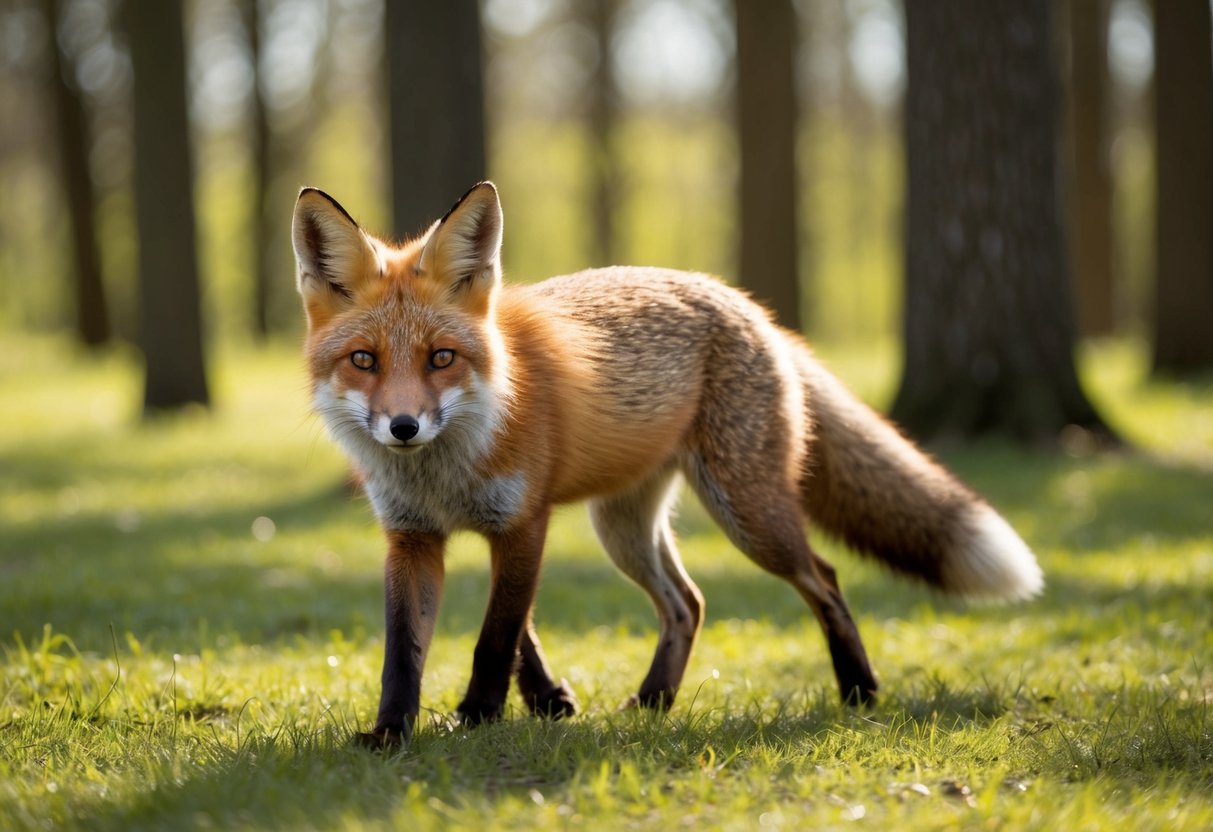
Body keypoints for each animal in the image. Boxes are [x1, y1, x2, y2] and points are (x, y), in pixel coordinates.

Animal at [291, 181, 1043, 748]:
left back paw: (858, 689)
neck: (445, 470)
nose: (403, 427)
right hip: (623, 526)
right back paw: (653, 701)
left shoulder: (523, 523)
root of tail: (748, 306)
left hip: (747, 514)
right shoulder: (415, 537)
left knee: (823, 579)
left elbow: (496, 635)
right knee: (688, 603)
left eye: (441, 358)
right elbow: (409, 649)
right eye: (364, 361)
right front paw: (394, 733)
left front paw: (478, 716)